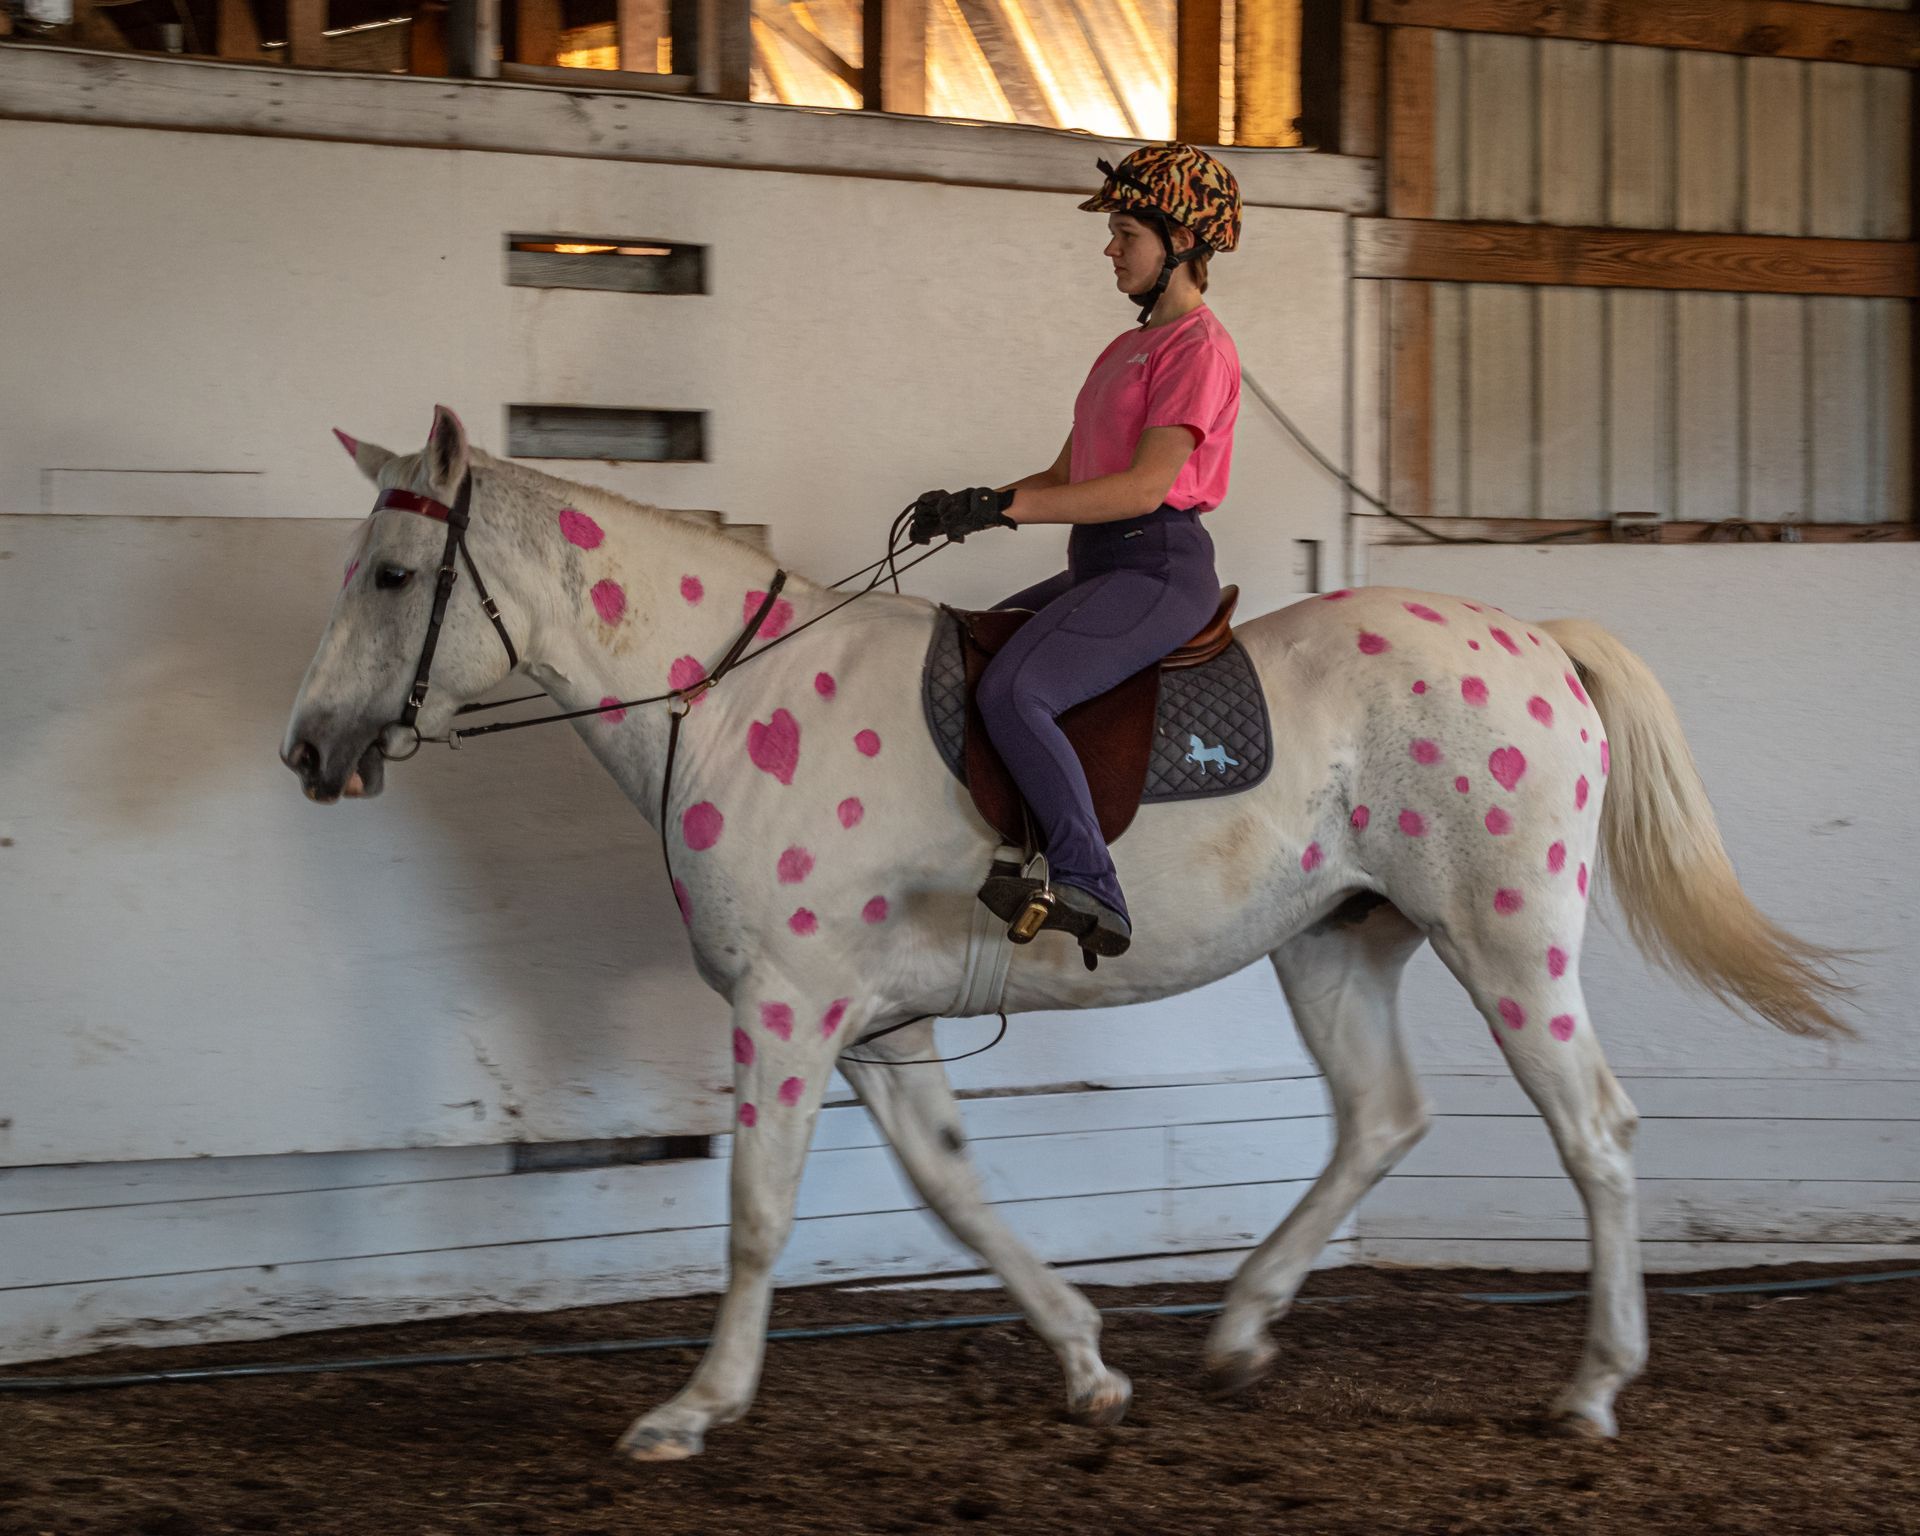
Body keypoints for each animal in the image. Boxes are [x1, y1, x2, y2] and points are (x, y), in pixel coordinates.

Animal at [282, 407, 1850, 1460]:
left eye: (391, 578)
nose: (307, 748)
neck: (731, 700)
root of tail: (1535, 643)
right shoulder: (878, 1027)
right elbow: (952, 1189)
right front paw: (1092, 1365)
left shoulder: (787, 1008)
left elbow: (758, 1214)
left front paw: (691, 1408)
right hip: (1336, 943)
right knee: (1381, 1118)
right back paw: (1238, 1330)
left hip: (1507, 939)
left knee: (1595, 1131)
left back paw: (1591, 1387)